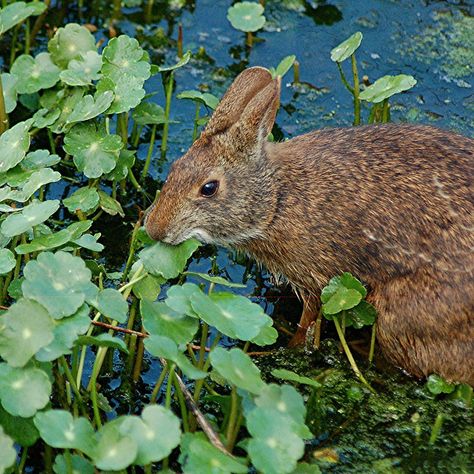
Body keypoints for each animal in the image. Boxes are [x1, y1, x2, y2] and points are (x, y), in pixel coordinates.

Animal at [145, 65, 474, 386]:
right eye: (175, 167)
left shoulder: (317, 279)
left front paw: (290, 349)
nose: (154, 228)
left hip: (399, 317)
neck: (276, 199)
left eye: (209, 188)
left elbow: (309, 319)